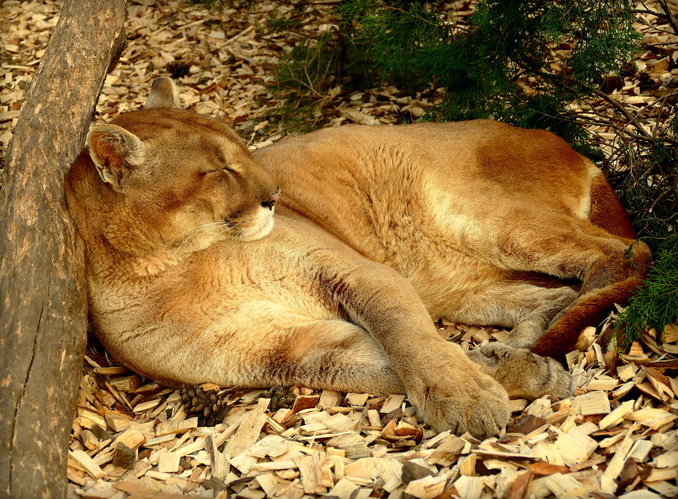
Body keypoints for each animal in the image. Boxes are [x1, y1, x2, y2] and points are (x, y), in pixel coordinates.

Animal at [66, 78, 652, 438]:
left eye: (243, 147)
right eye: (216, 171)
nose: (274, 194)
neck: (173, 266)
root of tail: (570, 144)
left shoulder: (354, 271)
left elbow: (409, 337)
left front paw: (466, 394)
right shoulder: (293, 349)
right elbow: (384, 369)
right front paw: (502, 375)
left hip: (489, 219)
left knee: (628, 254)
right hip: (471, 285)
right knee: (557, 290)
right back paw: (525, 343)